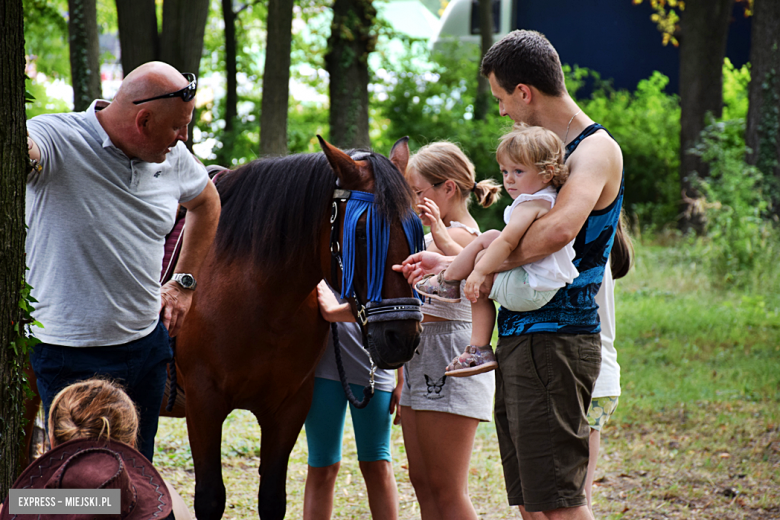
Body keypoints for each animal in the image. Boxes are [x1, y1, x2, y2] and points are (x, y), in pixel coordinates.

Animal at [176, 136, 424, 516]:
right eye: (362, 234)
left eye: (415, 228)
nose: (403, 338)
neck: (260, 300)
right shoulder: (203, 402)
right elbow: (210, 497)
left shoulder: (289, 407)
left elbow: (272, 498)